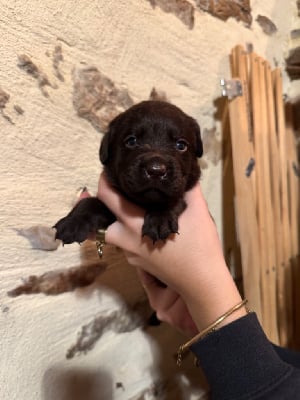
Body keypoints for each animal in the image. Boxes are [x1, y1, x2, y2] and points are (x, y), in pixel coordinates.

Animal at [54, 100, 203, 244]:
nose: (156, 170)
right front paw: (73, 222)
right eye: (131, 141)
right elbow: (90, 202)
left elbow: (170, 200)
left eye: (181, 145)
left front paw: (160, 219)